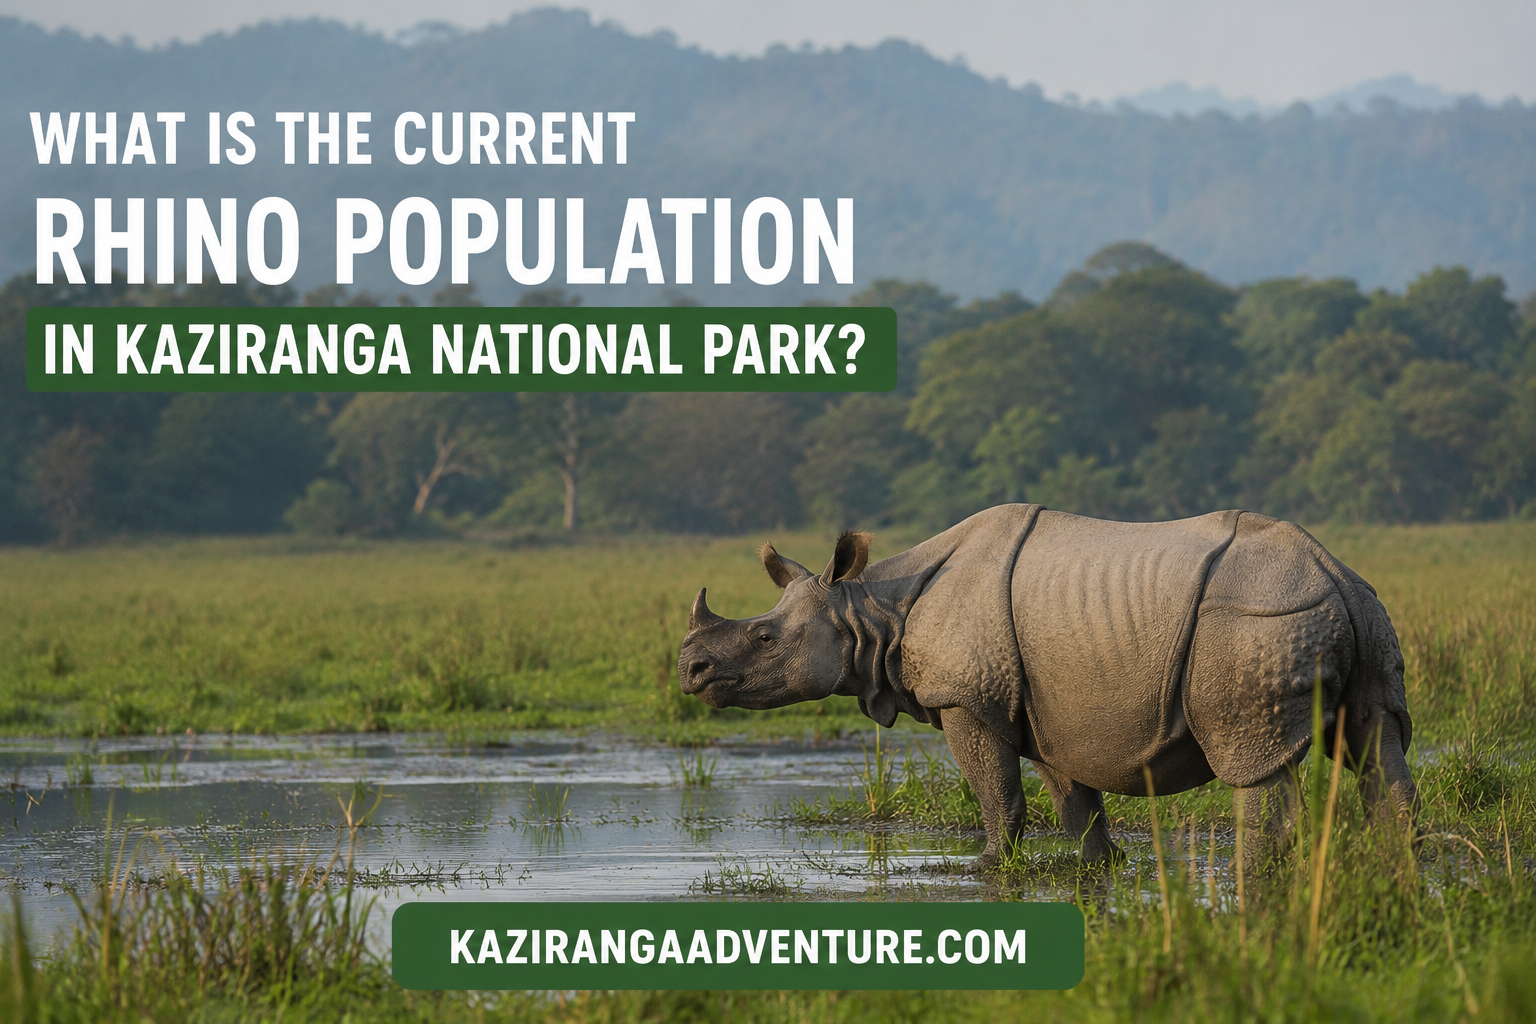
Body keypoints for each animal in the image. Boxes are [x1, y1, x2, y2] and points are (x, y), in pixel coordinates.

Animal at [678, 505, 1417, 868]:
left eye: (764, 639)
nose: (690, 671)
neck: (874, 608)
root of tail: (1332, 568)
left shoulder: (966, 699)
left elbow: (996, 793)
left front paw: (985, 868)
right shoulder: (1047, 709)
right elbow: (1073, 800)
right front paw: (1101, 868)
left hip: (1254, 618)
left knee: (1256, 762)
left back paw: (1258, 876)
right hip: (1360, 611)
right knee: (1377, 740)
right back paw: (1395, 867)